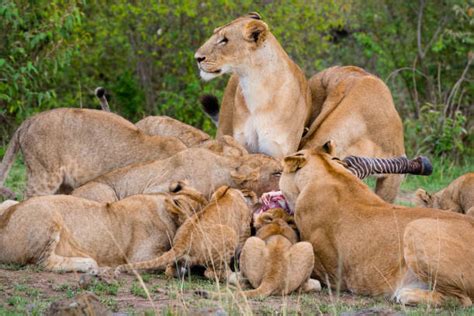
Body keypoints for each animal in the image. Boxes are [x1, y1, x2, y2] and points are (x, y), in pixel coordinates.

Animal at [115, 186, 256, 280]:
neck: (228, 191)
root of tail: (183, 241)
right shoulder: (244, 230)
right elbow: (241, 248)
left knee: (169, 270)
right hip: (229, 233)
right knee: (212, 273)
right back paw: (235, 276)